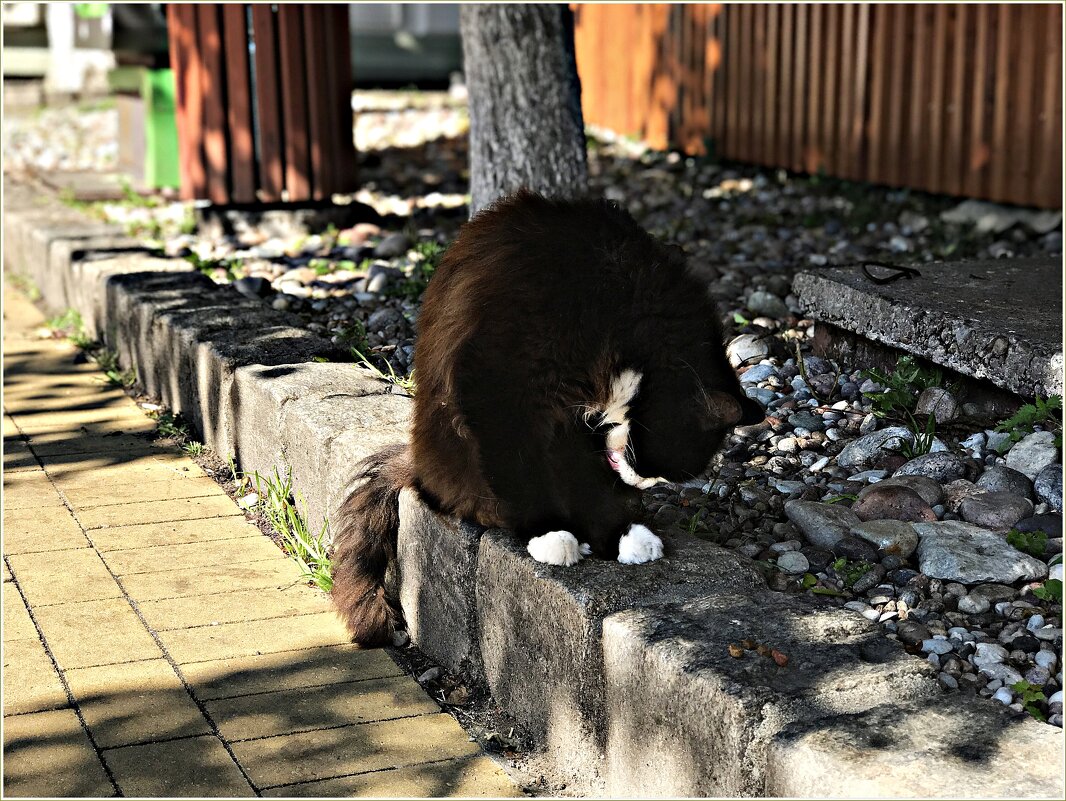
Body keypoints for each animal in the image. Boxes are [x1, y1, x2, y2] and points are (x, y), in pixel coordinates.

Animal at [330, 190, 758, 648]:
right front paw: (549, 534)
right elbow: (523, 473)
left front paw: (619, 536)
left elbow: (593, 491)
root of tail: (418, 467)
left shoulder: (577, 430)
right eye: (655, 467)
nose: (640, 484)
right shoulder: (502, 385)